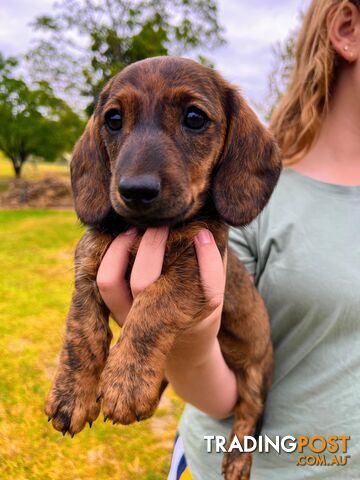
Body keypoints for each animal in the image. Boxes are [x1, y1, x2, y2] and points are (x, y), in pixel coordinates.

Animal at [45, 57, 282, 480]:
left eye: (194, 117)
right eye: (113, 119)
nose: (135, 190)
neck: (146, 230)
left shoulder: (195, 269)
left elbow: (152, 306)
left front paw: (127, 382)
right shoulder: (88, 265)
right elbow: (80, 332)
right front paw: (71, 394)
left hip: (256, 369)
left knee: (249, 410)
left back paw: (238, 456)